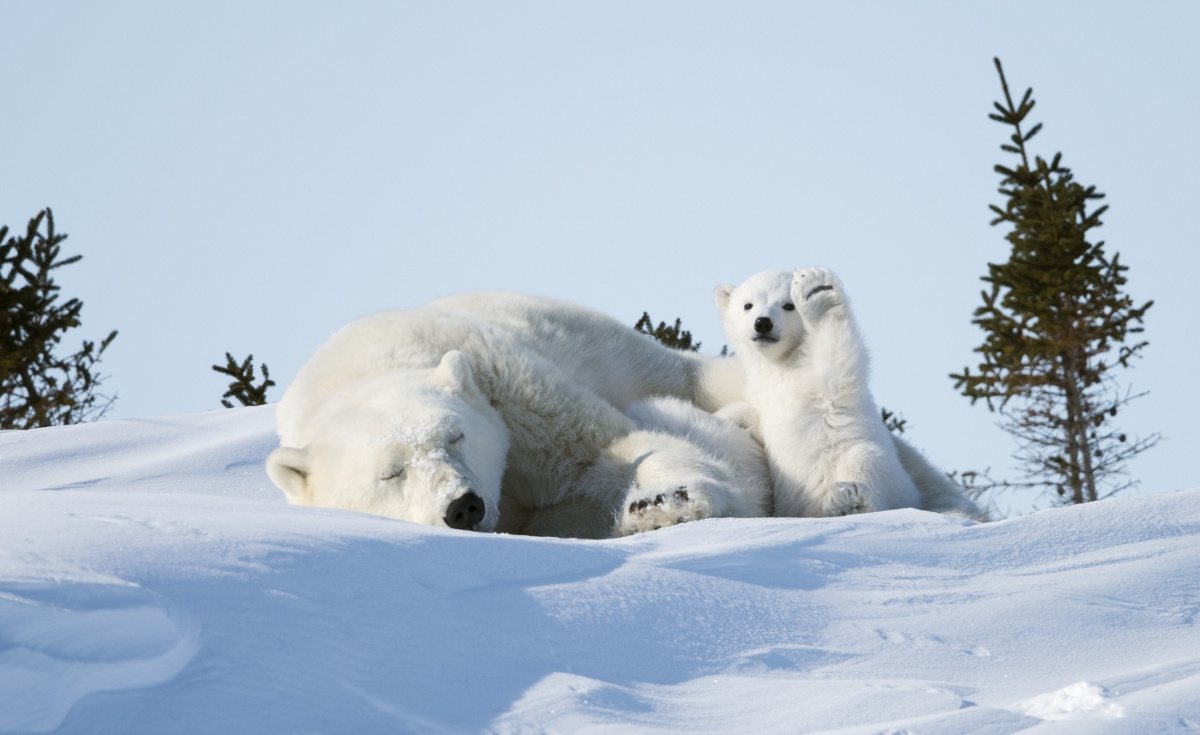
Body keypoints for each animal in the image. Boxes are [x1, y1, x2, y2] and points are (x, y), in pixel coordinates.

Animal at [266, 291, 757, 539]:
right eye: (391, 473)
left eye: (456, 436)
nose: (463, 507)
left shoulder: (506, 385)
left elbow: (607, 447)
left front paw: (667, 503)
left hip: (632, 356)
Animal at [713, 267, 986, 520]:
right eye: (748, 305)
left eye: (788, 305)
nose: (763, 323)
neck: (783, 364)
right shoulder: (761, 393)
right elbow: (751, 414)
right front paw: (722, 418)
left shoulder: (821, 382)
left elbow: (837, 358)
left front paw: (817, 292)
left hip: (889, 477)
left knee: (865, 461)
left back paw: (849, 501)